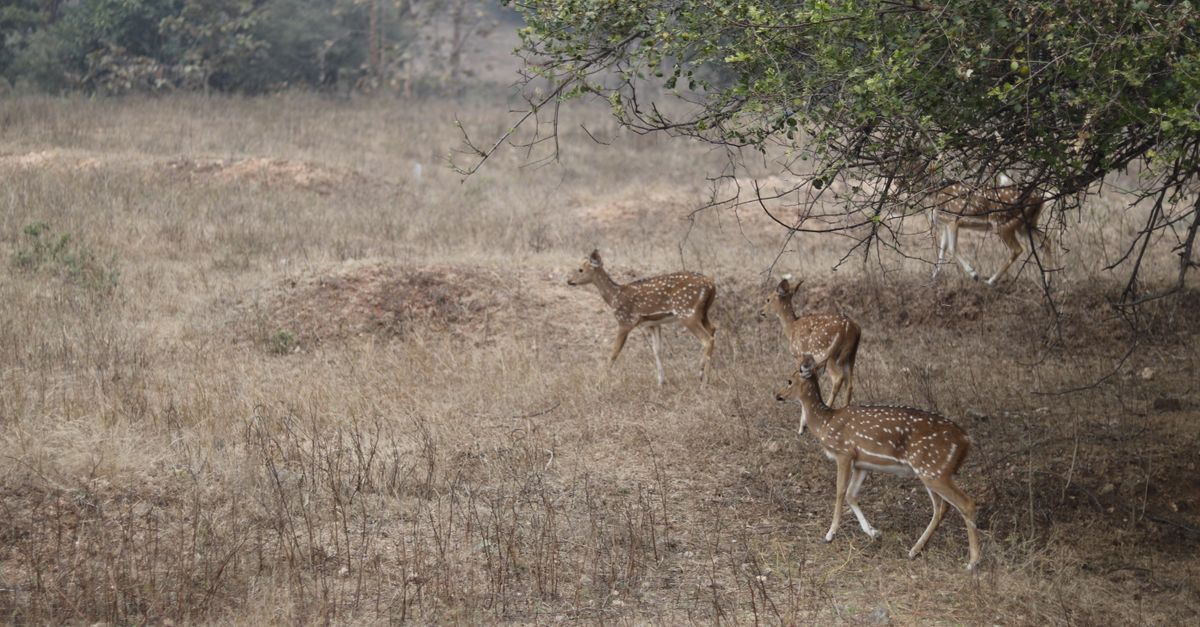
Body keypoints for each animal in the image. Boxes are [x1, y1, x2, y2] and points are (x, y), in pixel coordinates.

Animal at [567, 249, 717, 386]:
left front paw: (600, 382)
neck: (614, 297)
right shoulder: (653, 323)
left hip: (687, 312)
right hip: (702, 312)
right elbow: (657, 350)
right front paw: (660, 383)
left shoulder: (625, 321)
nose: (569, 281)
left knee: (707, 339)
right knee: (713, 329)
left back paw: (701, 377)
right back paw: (706, 378)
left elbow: (614, 351)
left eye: (580, 269)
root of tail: (711, 285)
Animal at [758, 277, 860, 408]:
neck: (791, 328)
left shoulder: (799, 354)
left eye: (768, 299)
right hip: (851, 355)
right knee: (850, 384)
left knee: (838, 378)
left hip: (825, 353)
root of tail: (852, 328)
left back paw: (828, 404)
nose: (761, 311)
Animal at [775, 353, 981, 570]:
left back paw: (972, 562)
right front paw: (874, 533)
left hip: (934, 470)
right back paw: (915, 550)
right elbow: (851, 495)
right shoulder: (862, 463)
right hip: (931, 471)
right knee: (942, 507)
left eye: (789, 380)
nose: (777, 395)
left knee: (966, 504)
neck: (825, 423)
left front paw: (829, 534)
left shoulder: (844, 452)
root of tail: (966, 441)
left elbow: (840, 491)